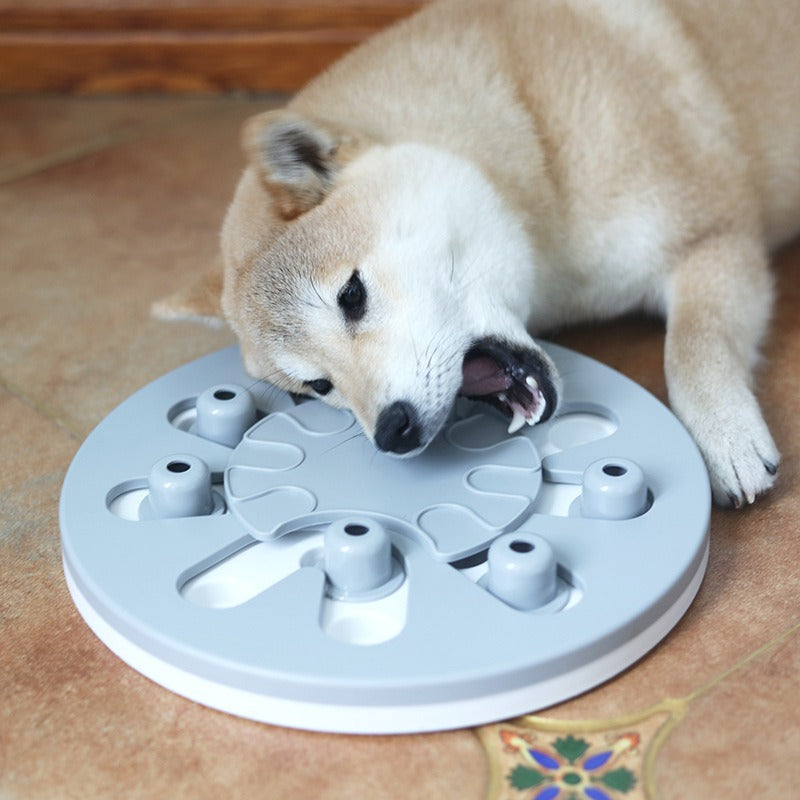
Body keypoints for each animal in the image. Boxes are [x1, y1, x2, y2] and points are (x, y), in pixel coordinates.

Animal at [155, 0, 800, 510]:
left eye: (351, 295)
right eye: (314, 388)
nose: (391, 430)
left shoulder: (712, 235)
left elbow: (690, 346)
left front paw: (725, 434)